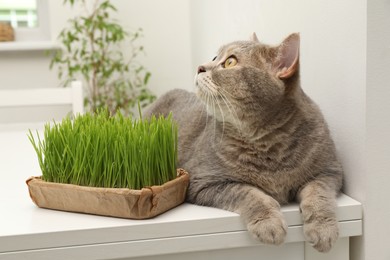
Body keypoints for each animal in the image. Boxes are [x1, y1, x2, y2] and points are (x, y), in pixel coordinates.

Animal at [145, 32, 342, 252]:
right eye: (215, 57)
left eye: (230, 62)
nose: (200, 67)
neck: (267, 145)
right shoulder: (204, 181)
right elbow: (248, 192)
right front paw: (268, 223)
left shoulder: (329, 171)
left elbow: (319, 194)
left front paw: (323, 229)